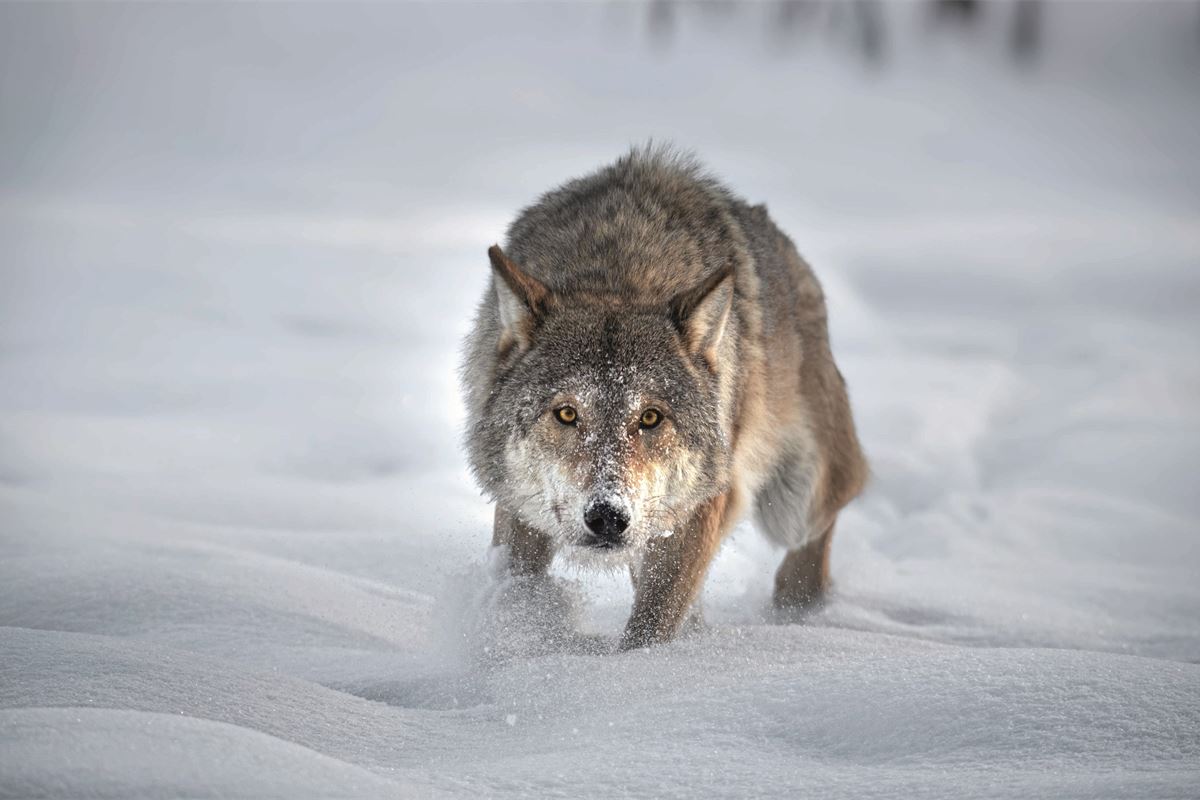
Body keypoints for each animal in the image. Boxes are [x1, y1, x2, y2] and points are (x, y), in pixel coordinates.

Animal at [461, 147, 867, 650]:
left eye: (651, 418)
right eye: (567, 413)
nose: (608, 518)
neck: (619, 274)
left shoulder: (699, 508)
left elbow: (650, 627)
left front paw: (643, 669)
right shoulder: (521, 508)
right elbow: (519, 586)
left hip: (796, 502)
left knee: (826, 521)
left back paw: (797, 615)